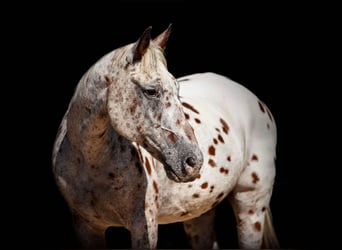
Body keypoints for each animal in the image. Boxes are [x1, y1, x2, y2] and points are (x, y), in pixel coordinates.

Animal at [52, 24, 280, 248]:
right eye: (151, 91)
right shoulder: (87, 227)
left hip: (250, 207)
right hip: (199, 213)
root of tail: (255, 100)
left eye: (177, 89)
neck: (91, 161)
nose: (193, 162)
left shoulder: (145, 226)